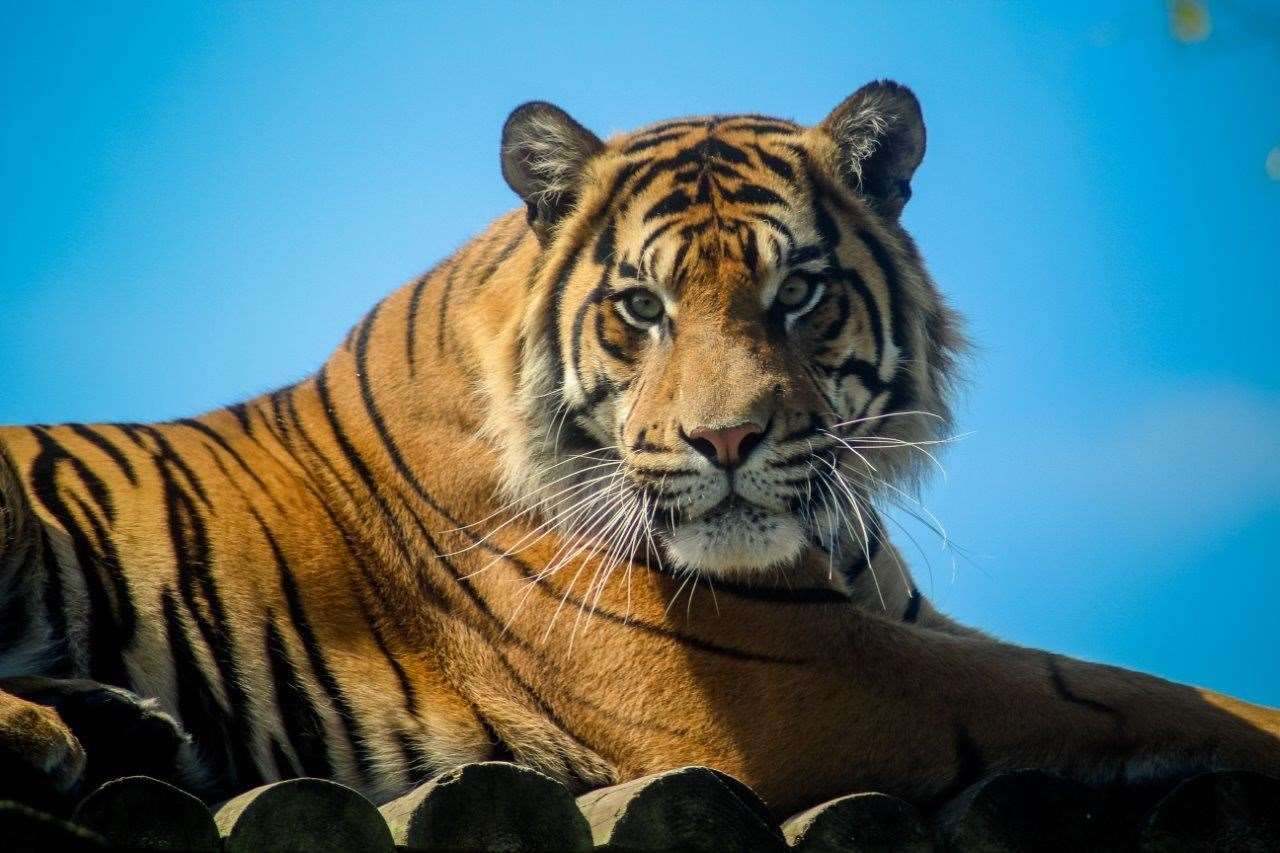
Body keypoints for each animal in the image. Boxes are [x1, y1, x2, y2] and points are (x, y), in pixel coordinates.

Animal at [0, 81, 1274, 819]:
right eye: (640, 308)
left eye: (796, 292)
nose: (725, 438)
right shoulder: (777, 677)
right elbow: (1105, 691)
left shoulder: (879, 624)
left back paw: (124, 726)